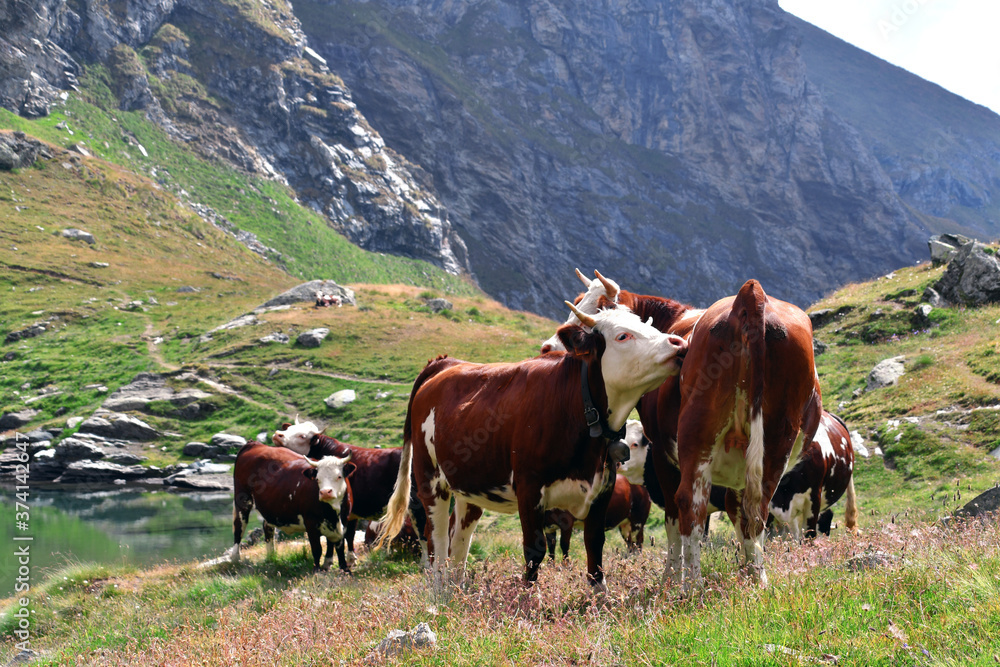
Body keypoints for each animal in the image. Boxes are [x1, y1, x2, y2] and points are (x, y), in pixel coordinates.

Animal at [232, 440, 358, 572]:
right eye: (317, 479)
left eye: (339, 476)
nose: (325, 492)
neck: (333, 514)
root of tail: (255, 444)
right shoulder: (310, 522)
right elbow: (317, 549)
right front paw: (317, 570)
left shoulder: (344, 520)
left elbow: (339, 546)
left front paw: (344, 569)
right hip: (242, 499)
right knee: (239, 527)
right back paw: (235, 559)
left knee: (267, 528)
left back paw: (271, 557)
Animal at [376, 302, 688, 588]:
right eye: (623, 336)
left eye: (649, 326)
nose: (678, 343)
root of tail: (446, 362)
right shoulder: (528, 488)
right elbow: (534, 552)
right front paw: (526, 600)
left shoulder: (603, 489)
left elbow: (594, 550)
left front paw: (599, 600)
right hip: (429, 479)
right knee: (436, 540)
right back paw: (439, 594)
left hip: (468, 486)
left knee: (459, 540)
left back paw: (456, 593)